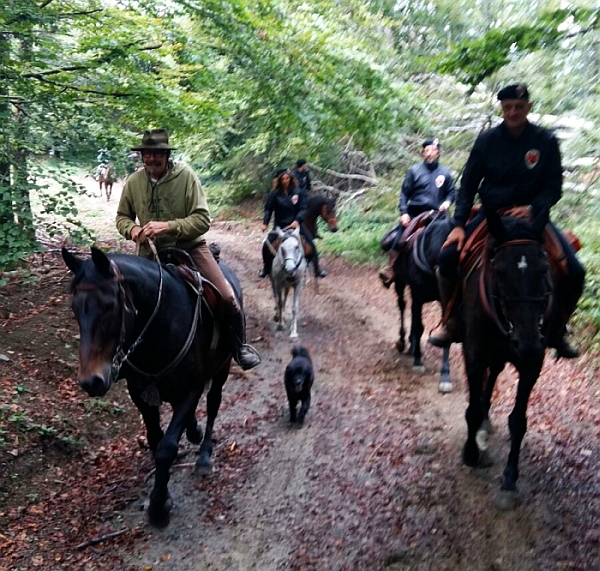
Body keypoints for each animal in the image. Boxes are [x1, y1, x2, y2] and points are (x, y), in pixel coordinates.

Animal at [392, 213, 452, 394]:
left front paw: (445, 376)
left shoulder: (445, 302)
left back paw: (411, 346)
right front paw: (418, 361)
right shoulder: (418, 296)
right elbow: (418, 328)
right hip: (400, 283)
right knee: (402, 305)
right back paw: (403, 342)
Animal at [462, 211, 556, 510]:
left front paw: (510, 478)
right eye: (500, 271)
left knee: (493, 375)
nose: (527, 344)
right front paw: (470, 453)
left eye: (544, 269)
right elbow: (471, 409)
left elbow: (518, 421)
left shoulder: (532, 365)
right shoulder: (474, 355)